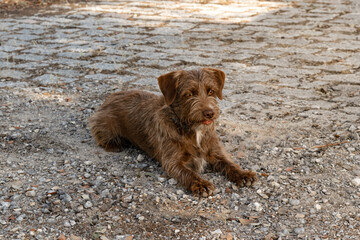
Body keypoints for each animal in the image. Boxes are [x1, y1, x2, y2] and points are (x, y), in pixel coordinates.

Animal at [90, 68, 258, 197]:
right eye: (189, 94)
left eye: (211, 91)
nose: (209, 113)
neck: (193, 130)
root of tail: (111, 96)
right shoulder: (173, 161)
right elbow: (188, 173)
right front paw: (201, 184)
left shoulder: (215, 151)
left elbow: (229, 163)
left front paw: (243, 174)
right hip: (104, 124)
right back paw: (114, 144)